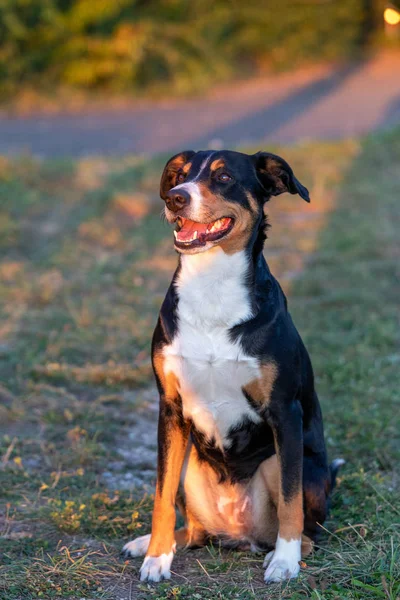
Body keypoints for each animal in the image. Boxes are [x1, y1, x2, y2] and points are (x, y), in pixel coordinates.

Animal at [122, 149, 344, 580]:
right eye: (181, 175)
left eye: (223, 177)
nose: (175, 197)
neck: (211, 287)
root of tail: (239, 534)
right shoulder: (170, 409)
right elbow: (160, 494)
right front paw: (156, 558)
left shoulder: (285, 412)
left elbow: (290, 500)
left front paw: (285, 562)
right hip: (190, 463)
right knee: (192, 529)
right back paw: (153, 543)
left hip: (287, 463)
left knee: (306, 530)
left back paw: (281, 553)